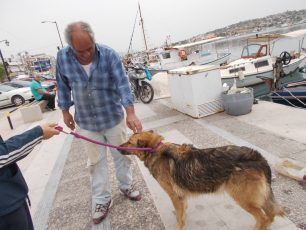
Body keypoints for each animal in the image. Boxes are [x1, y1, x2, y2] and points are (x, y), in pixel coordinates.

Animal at [119, 131, 284, 230]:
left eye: (129, 142)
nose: (118, 147)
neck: (155, 150)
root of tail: (257, 156)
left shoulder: (174, 195)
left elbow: (179, 216)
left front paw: (179, 224)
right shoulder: (180, 196)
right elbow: (182, 210)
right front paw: (181, 215)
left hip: (243, 198)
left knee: (263, 217)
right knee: (269, 215)